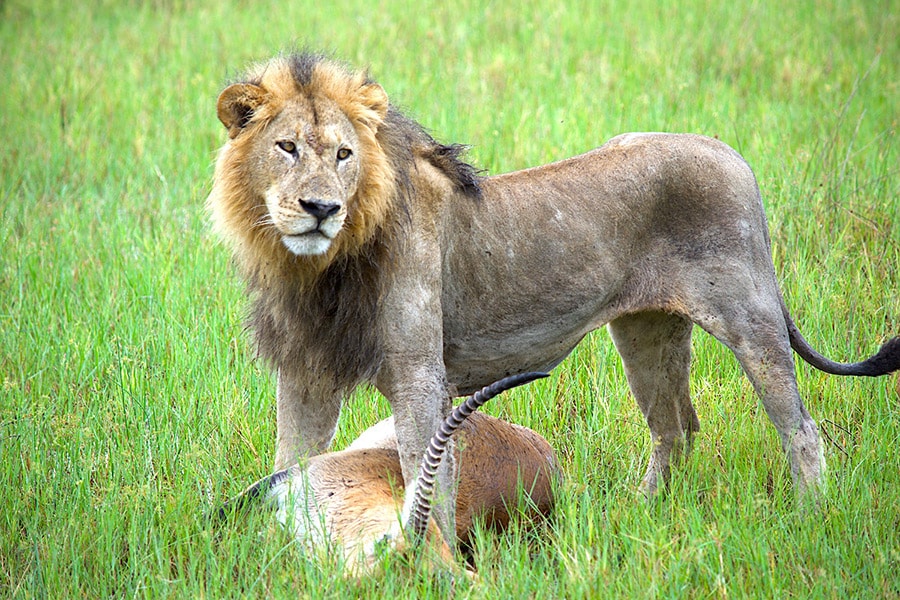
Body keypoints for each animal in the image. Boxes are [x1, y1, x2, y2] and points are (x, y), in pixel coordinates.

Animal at [207, 50, 896, 548]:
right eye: (287, 147)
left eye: (345, 154)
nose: (321, 207)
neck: (317, 267)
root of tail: (732, 152)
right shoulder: (306, 373)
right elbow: (293, 460)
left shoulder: (419, 377)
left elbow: (431, 480)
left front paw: (431, 560)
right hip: (646, 331)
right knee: (675, 428)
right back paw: (637, 516)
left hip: (749, 316)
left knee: (799, 428)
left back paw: (810, 519)